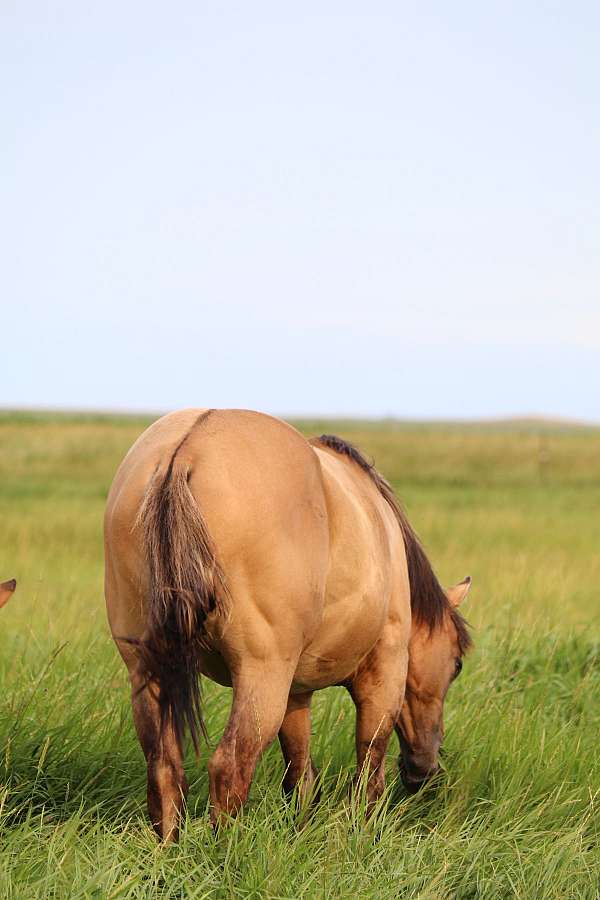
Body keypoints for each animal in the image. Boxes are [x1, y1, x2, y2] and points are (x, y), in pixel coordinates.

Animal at [104, 409, 471, 841]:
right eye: (456, 665)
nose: (424, 771)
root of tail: (185, 451)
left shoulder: (296, 693)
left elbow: (300, 775)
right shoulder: (384, 675)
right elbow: (369, 769)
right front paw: (362, 836)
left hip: (149, 669)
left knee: (164, 766)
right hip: (261, 675)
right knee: (230, 766)